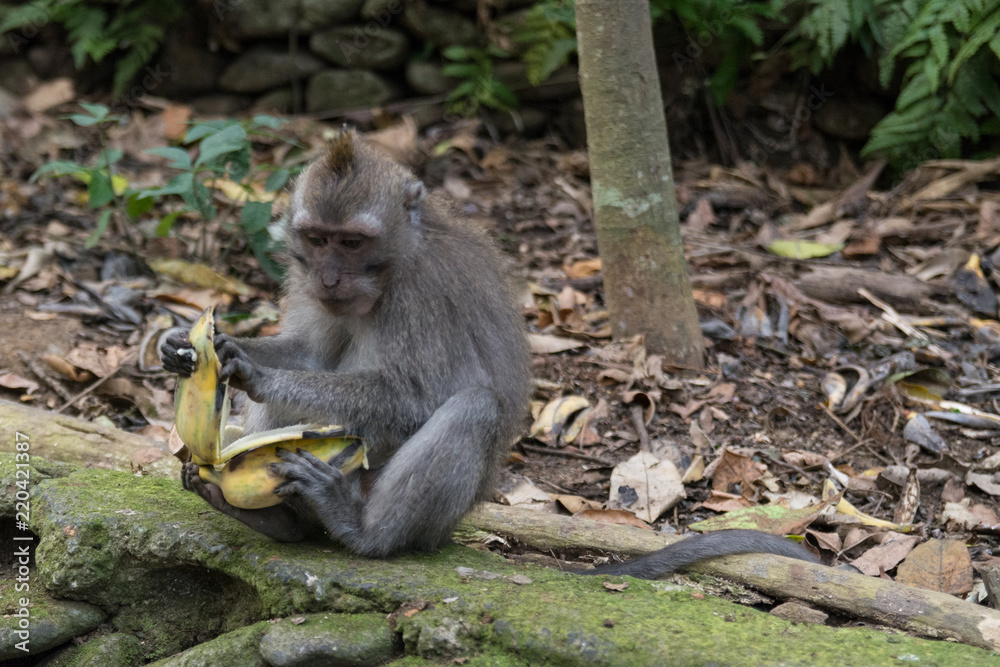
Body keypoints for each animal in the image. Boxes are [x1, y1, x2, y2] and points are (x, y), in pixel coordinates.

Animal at [158, 130, 828, 580]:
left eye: (352, 243)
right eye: (318, 239)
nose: (328, 277)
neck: (394, 264)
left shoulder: (423, 291)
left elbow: (414, 397)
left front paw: (260, 373)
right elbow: (312, 353)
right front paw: (206, 348)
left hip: (426, 508)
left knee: (471, 407)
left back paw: (361, 531)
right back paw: (281, 520)